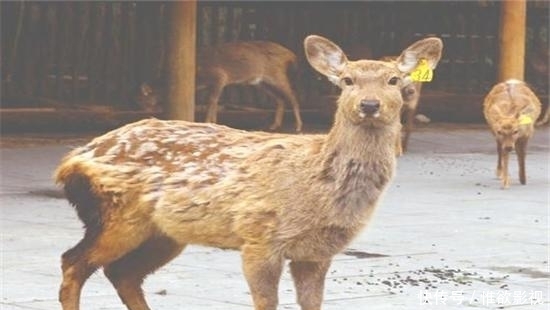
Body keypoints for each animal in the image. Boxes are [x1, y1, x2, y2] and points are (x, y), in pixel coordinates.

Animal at [135, 39, 304, 131]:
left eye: (142, 100)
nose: (143, 111)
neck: (198, 79)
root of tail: (292, 55)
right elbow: (215, 102)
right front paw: (214, 122)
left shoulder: (219, 76)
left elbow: (211, 100)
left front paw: (207, 122)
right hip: (261, 82)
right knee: (280, 99)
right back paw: (274, 125)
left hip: (277, 74)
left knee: (293, 95)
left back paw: (298, 126)